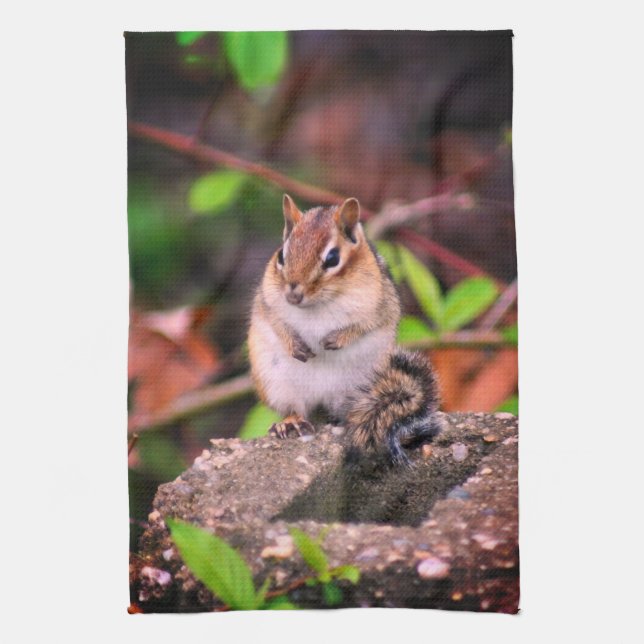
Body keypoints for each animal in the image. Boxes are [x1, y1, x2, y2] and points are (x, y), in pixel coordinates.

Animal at [247, 194, 443, 465]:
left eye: (332, 259)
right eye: (281, 256)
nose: (293, 294)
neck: (318, 305)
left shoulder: (380, 305)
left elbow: (365, 324)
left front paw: (337, 339)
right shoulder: (267, 302)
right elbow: (277, 322)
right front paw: (294, 344)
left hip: (364, 385)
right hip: (277, 384)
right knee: (296, 408)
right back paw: (291, 422)